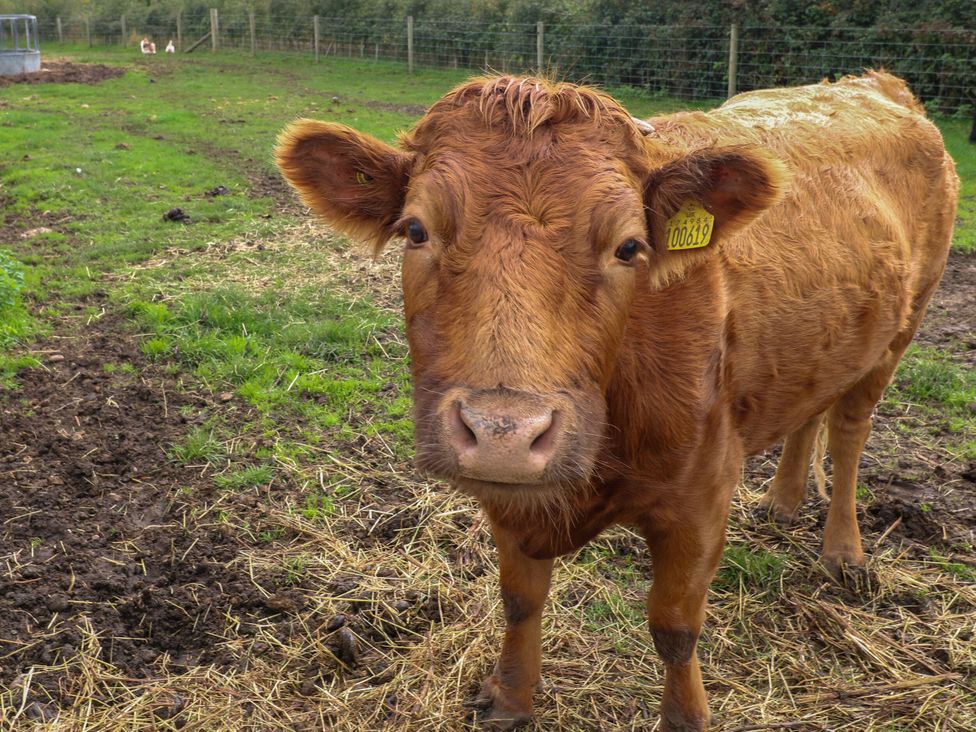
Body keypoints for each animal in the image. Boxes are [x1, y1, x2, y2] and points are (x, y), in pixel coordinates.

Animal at [276, 74, 960, 732]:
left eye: (629, 246)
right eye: (416, 230)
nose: (504, 432)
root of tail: (878, 86)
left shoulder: (703, 495)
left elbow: (675, 626)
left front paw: (686, 718)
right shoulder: (510, 492)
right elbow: (520, 598)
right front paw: (511, 696)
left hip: (901, 330)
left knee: (848, 432)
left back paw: (843, 552)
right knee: (811, 411)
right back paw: (783, 501)